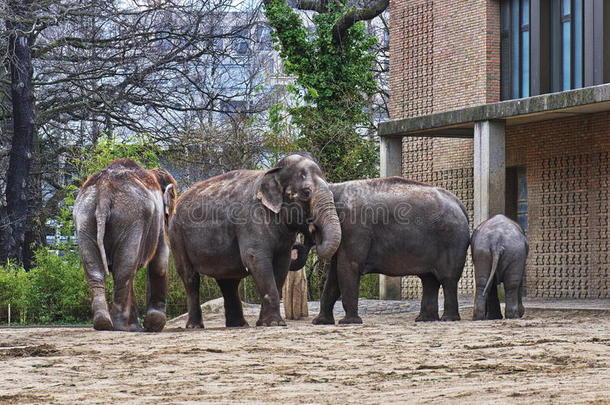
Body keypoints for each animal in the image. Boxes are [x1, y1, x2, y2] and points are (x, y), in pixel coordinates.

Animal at [72, 158, 176, 332]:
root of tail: (104, 191)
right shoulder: (159, 220)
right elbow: (160, 261)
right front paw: (154, 325)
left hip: (84, 218)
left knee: (96, 271)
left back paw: (104, 323)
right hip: (131, 219)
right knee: (124, 271)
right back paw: (123, 327)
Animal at [170, 153, 342, 326]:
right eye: (306, 192)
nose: (312, 231)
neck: (273, 171)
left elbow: (282, 264)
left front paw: (264, 323)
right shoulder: (251, 220)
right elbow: (255, 259)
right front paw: (274, 324)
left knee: (228, 280)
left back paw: (238, 325)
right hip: (176, 236)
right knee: (190, 278)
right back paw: (195, 326)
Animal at [296, 175, 468, 324]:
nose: (299, 244)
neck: (332, 188)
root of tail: (459, 203)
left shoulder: (354, 227)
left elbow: (348, 267)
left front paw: (349, 322)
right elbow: (334, 274)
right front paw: (320, 322)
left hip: (452, 239)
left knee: (447, 279)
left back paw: (448, 319)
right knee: (429, 279)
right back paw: (424, 319)